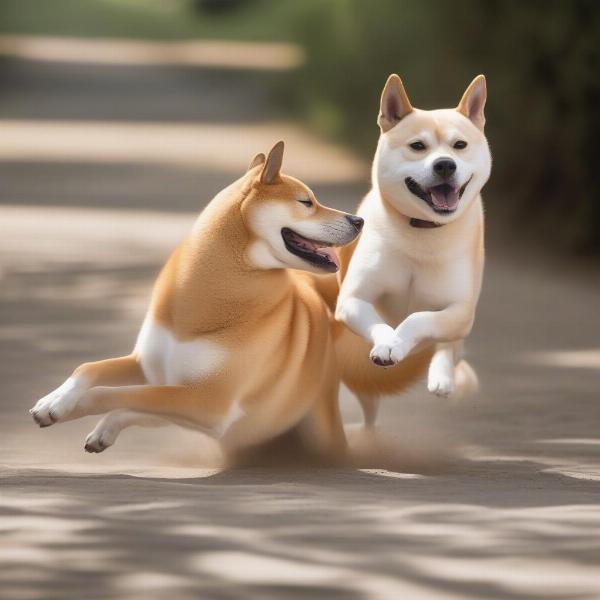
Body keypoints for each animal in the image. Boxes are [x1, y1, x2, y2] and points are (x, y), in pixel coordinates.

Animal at [30, 142, 364, 460]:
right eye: (306, 202)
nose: (358, 220)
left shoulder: (206, 399)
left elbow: (108, 394)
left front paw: (63, 408)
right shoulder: (149, 367)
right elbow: (89, 368)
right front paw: (53, 400)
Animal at [332, 74, 492, 426]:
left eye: (460, 145)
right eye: (418, 146)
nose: (445, 165)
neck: (422, 230)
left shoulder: (461, 311)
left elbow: (420, 318)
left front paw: (400, 343)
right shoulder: (352, 300)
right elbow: (379, 322)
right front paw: (387, 344)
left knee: (448, 347)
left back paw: (442, 376)